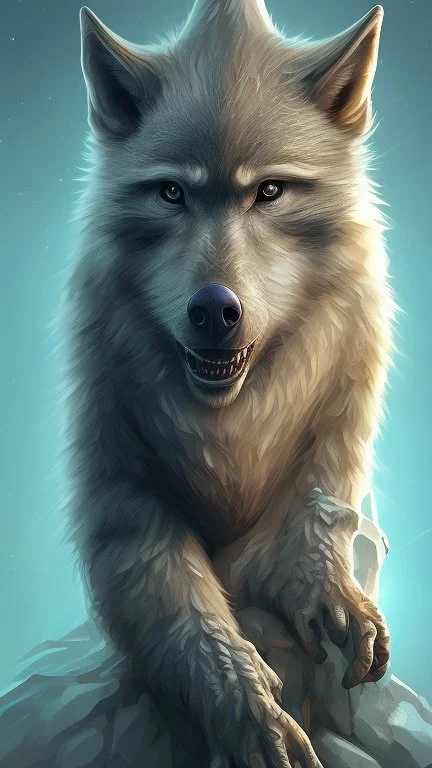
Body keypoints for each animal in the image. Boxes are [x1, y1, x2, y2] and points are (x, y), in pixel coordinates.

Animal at [62, 1, 395, 765]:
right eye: (172, 193)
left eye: (268, 191)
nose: (214, 309)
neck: (229, 423)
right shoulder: (123, 496)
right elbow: (192, 621)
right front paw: (247, 712)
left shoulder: (340, 421)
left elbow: (319, 513)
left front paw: (324, 586)